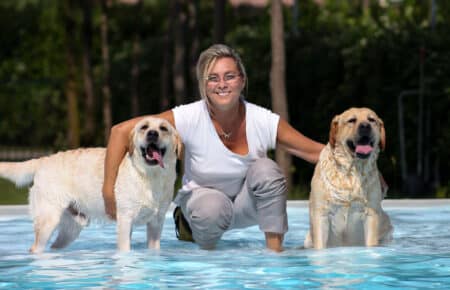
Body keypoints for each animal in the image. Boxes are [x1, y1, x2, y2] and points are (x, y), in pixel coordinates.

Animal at [0, 116, 181, 253]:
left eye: (163, 128)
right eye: (144, 127)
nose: (152, 134)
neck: (151, 176)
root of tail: (43, 160)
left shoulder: (156, 224)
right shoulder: (125, 221)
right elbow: (125, 250)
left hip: (70, 230)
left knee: (55, 246)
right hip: (48, 221)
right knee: (36, 248)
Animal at [304, 107, 392, 248]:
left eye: (371, 120)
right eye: (352, 120)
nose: (365, 126)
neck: (351, 172)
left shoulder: (371, 214)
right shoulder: (321, 215)